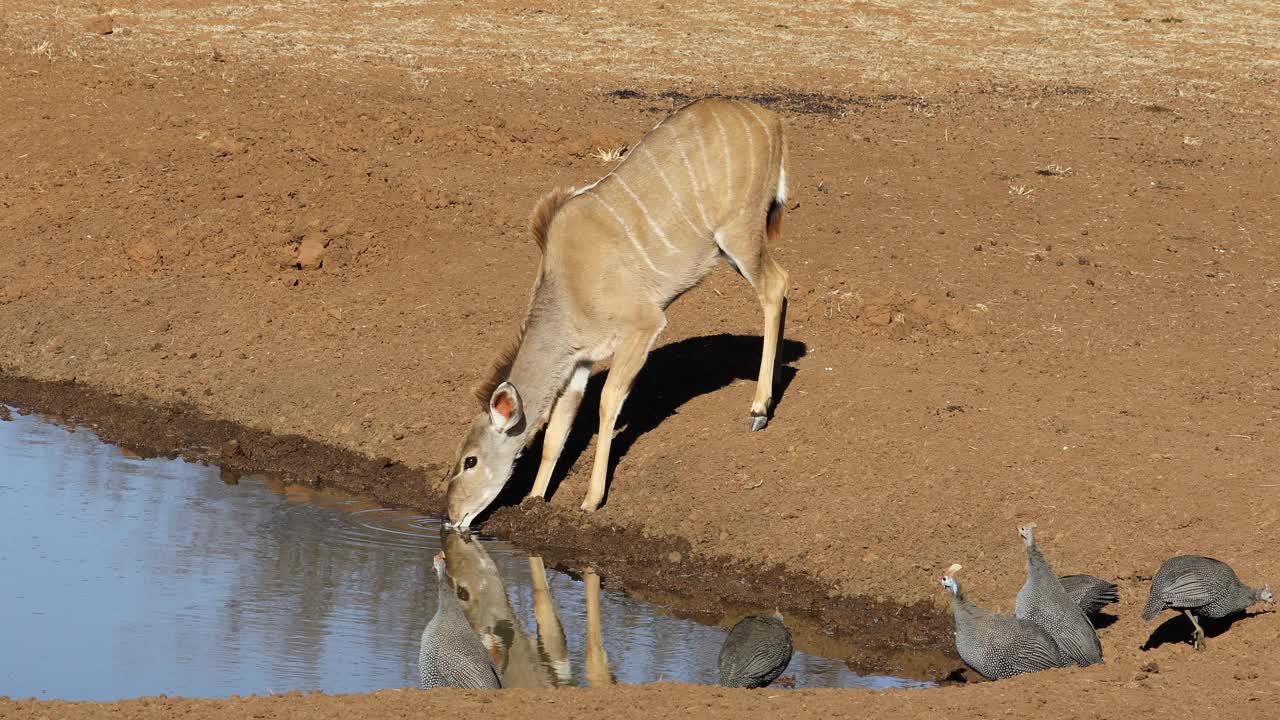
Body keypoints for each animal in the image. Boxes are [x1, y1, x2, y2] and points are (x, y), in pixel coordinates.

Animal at [442, 96, 788, 527]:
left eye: (470, 461)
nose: (451, 516)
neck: (568, 290)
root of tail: (771, 120)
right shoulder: (578, 362)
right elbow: (557, 431)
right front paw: (535, 499)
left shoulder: (644, 326)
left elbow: (607, 402)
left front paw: (591, 499)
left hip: (739, 234)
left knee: (775, 286)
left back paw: (759, 407)